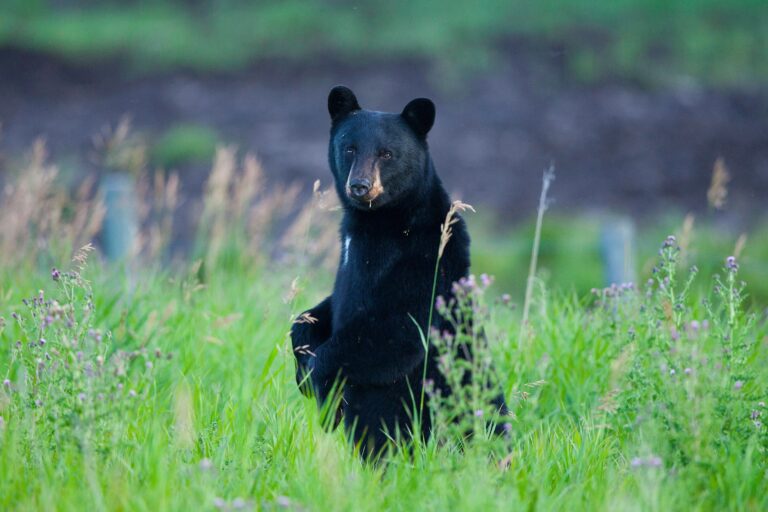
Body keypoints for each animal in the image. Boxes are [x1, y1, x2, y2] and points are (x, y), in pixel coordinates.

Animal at [291, 85, 507, 458]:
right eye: (349, 147)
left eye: (387, 153)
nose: (360, 186)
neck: (379, 221)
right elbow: (321, 311)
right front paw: (301, 358)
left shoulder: (424, 258)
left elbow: (395, 328)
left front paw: (323, 390)